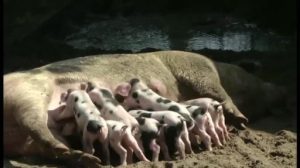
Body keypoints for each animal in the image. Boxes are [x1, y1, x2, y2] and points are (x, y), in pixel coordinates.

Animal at [4, 50, 248, 167]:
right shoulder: (200, 71)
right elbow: (219, 92)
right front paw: (241, 121)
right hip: (28, 96)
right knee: (39, 129)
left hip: (31, 127)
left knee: (47, 141)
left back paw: (87, 159)